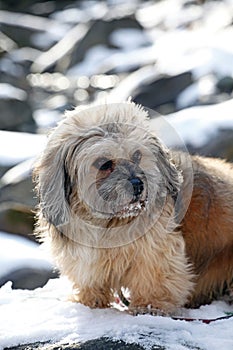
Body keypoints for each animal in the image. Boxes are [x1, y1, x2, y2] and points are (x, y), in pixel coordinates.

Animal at [33, 100, 233, 314]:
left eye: (137, 155)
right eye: (104, 164)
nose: (138, 184)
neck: (109, 222)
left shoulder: (156, 251)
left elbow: (155, 279)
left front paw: (149, 306)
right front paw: (88, 302)